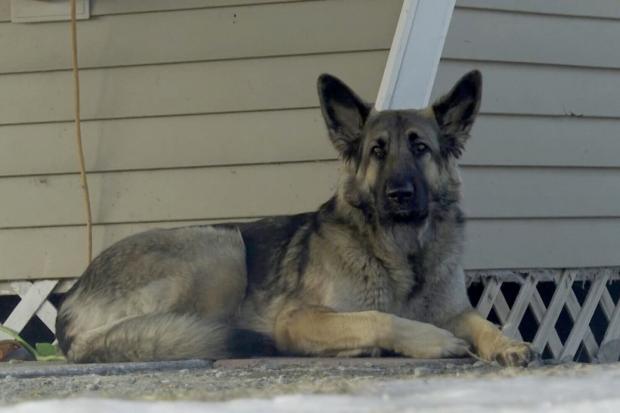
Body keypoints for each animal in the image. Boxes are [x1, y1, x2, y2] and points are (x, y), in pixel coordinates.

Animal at [57, 69, 532, 366]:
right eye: (377, 151)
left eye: (420, 148)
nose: (399, 195)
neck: (402, 253)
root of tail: (72, 297)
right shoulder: (297, 317)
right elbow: (377, 317)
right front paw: (433, 341)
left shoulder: (455, 310)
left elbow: (483, 321)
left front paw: (508, 343)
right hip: (222, 247)